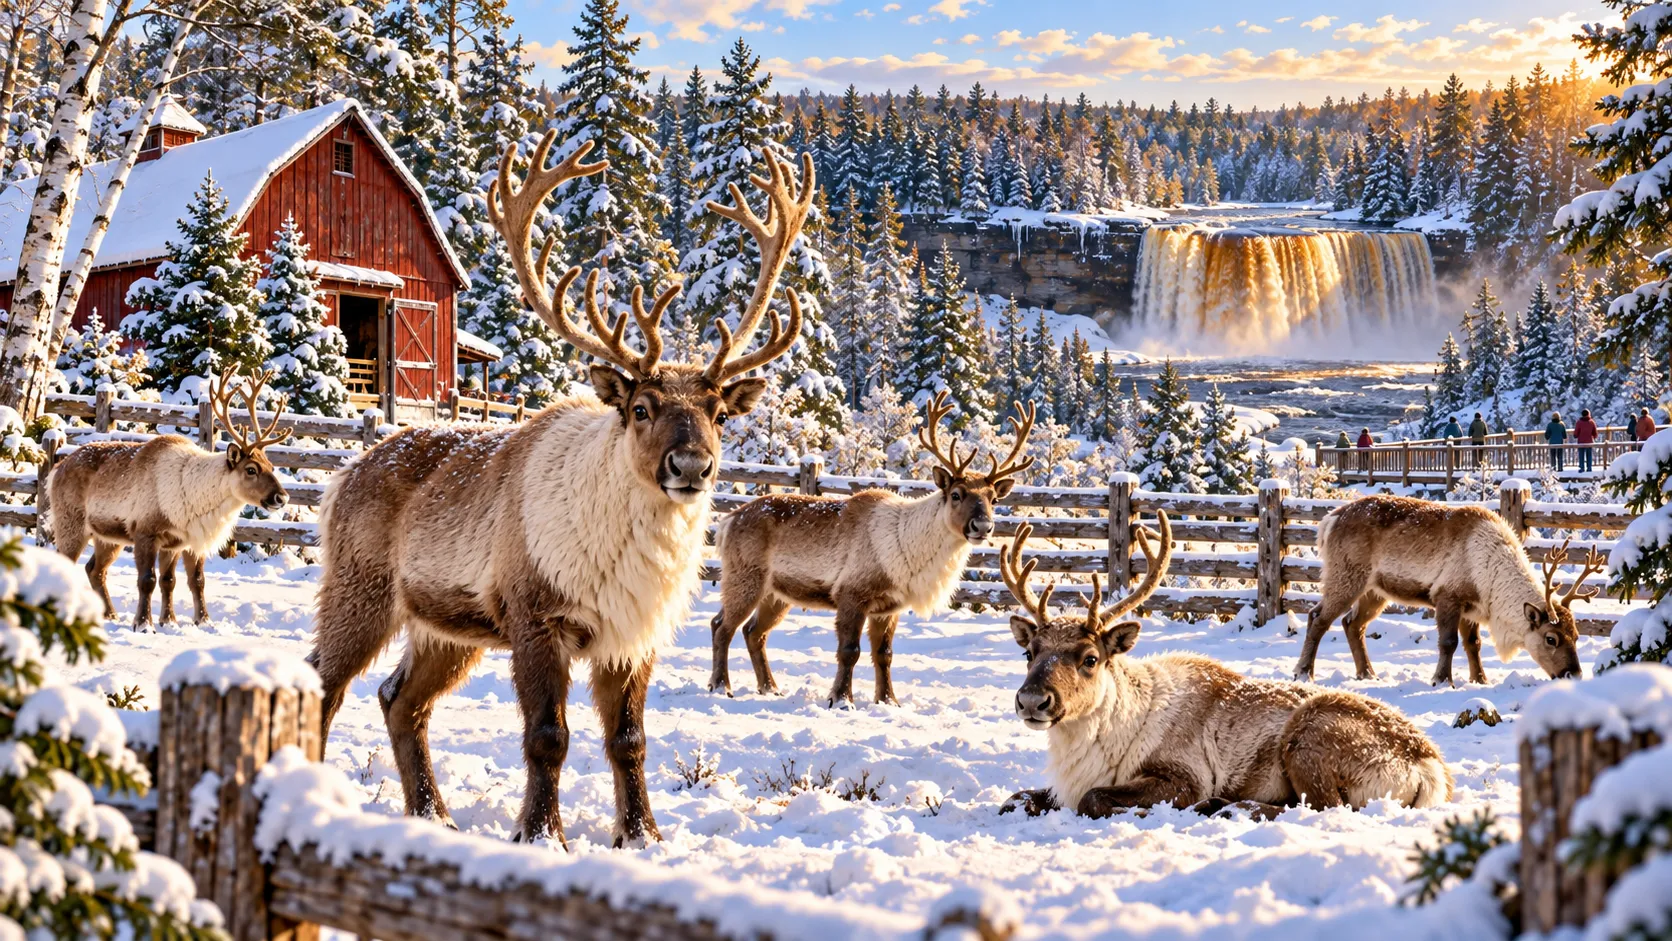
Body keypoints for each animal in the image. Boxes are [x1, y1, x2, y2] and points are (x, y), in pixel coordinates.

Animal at [44, 367, 292, 628]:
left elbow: (183, 581)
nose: (282, 497)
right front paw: (144, 624)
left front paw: (184, 621)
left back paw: (110, 614)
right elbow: (147, 580)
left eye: (271, 465)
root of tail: (56, 468)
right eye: (251, 469)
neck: (199, 500)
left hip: (108, 537)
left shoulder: (179, 541)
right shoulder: (145, 532)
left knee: (95, 569)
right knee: (64, 563)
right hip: (70, 523)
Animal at [308, 134, 814, 849]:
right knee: (322, 682)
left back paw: (433, 814)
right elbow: (548, 736)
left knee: (398, 698)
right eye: (641, 407)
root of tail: (341, 478)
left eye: (718, 411)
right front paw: (543, 833)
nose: (692, 465)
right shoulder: (535, 616)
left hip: (448, 628)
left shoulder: (633, 636)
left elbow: (629, 740)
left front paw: (642, 835)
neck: (630, 561)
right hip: (361, 589)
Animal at [708, 394, 1036, 706]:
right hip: (744, 577)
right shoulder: (851, 594)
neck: (910, 552)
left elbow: (884, 655)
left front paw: (889, 701)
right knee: (722, 626)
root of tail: (727, 521)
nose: (982, 525)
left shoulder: (889, 606)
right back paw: (721, 686)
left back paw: (770, 688)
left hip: (777, 593)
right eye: (956, 494)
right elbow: (849, 651)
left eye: (993, 498)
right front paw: (841, 700)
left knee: (754, 632)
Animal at [996, 516, 1453, 820]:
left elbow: (1094, 798)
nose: (1032, 700)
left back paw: (1225, 807)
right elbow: (1014, 798)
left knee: (1327, 809)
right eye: (1029, 652)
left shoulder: (1183, 776)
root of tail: (1432, 770)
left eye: (1090, 658)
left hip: (1309, 736)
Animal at [1294, 495, 1592, 687]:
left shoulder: (1472, 607)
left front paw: (1480, 680)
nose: (1573, 674)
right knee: (1317, 617)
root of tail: (1329, 521)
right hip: (1346, 576)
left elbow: (1474, 644)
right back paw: (1304, 673)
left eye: (1576, 635)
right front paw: (1441, 680)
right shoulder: (1447, 596)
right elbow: (1449, 643)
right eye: (1551, 638)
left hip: (1375, 590)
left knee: (1352, 623)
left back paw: (1367, 673)